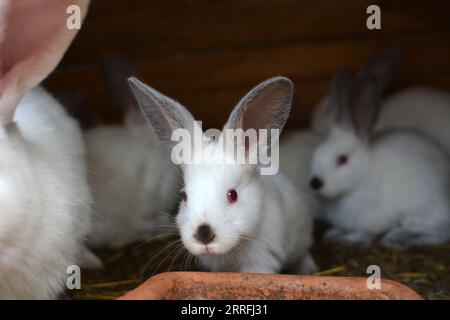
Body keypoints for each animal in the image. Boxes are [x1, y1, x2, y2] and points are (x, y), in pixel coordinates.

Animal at [310, 70, 450, 249]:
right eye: (316, 152)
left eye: (342, 159)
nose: (315, 182)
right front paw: (333, 233)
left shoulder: (371, 219)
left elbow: (363, 234)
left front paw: (348, 240)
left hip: (422, 208)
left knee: (439, 231)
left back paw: (398, 238)